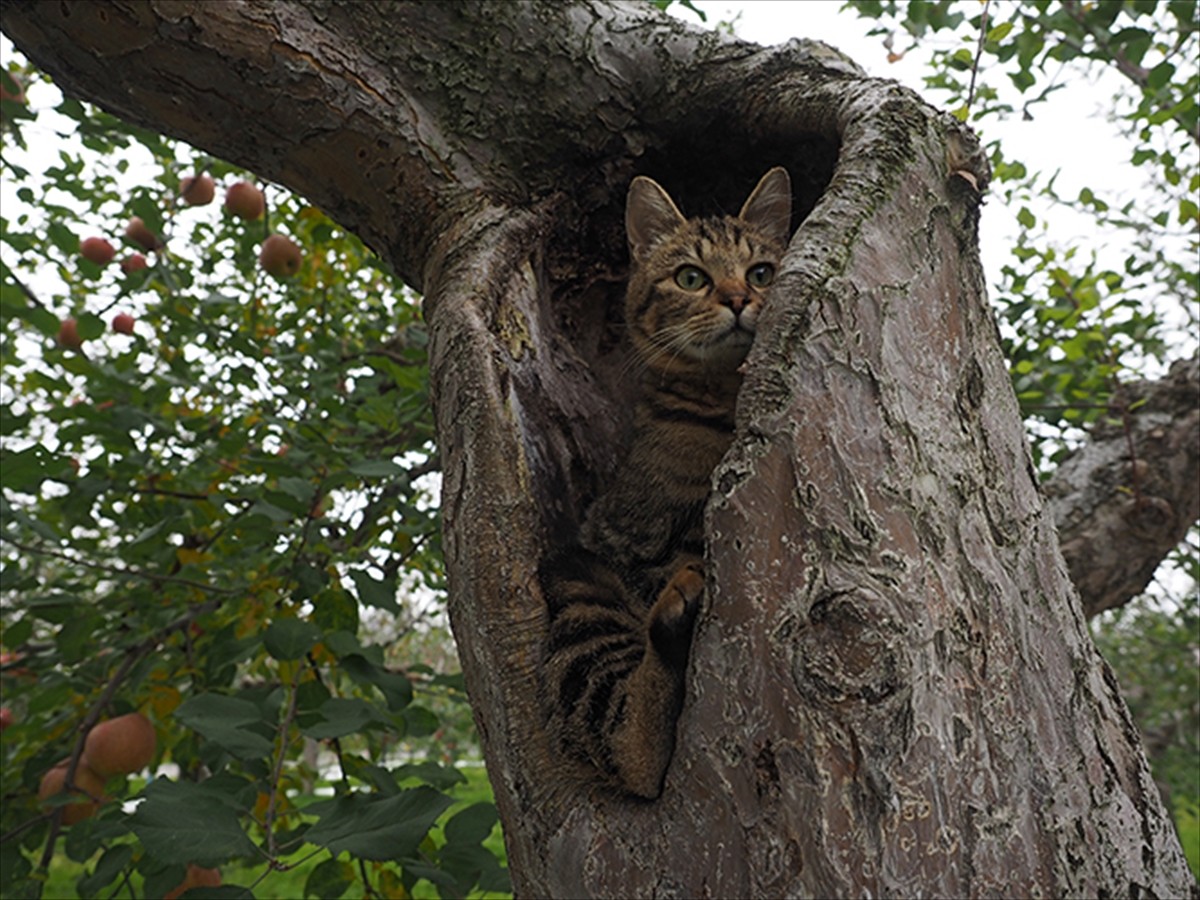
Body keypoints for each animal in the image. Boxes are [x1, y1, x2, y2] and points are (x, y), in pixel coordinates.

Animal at [540, 165, 792, 801]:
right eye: (690, 277)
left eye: (761, 272)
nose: (738, 300)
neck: (722, 399)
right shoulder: (638, 536)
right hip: (579, 588)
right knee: (631, 751)